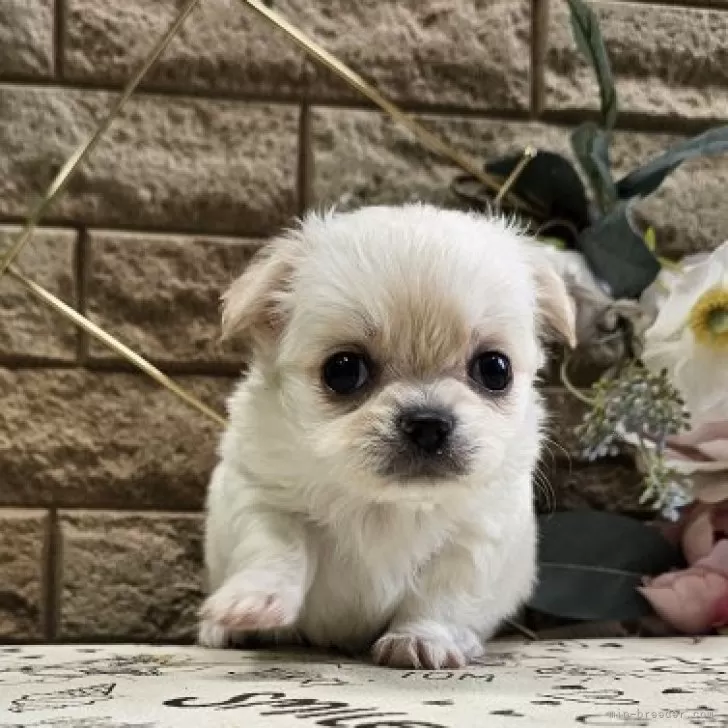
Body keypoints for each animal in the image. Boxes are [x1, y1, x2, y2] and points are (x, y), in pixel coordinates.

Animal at [199, 202, 576, 668]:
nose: (428, 421)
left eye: (494, 369)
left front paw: (422, 639)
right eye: (343, 371)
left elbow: (441, 595)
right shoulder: (264, 497)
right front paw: (255, 601)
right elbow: (276, 549)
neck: (387, 505)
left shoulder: (475, 538)